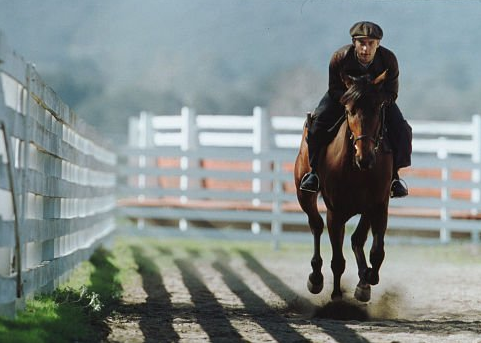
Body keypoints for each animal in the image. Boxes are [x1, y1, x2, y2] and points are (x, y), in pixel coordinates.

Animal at [292, 71, 394, 302]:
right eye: (349, 110)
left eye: (378, 108)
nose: (365, 157)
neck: (357, 170)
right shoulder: (335, 212)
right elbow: (338, 260)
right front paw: (337, 294)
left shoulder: (378, 206)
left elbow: (377, 251)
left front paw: (367, 279)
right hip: (305, 196)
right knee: (316, 225)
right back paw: (316, 278)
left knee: (356, 239)